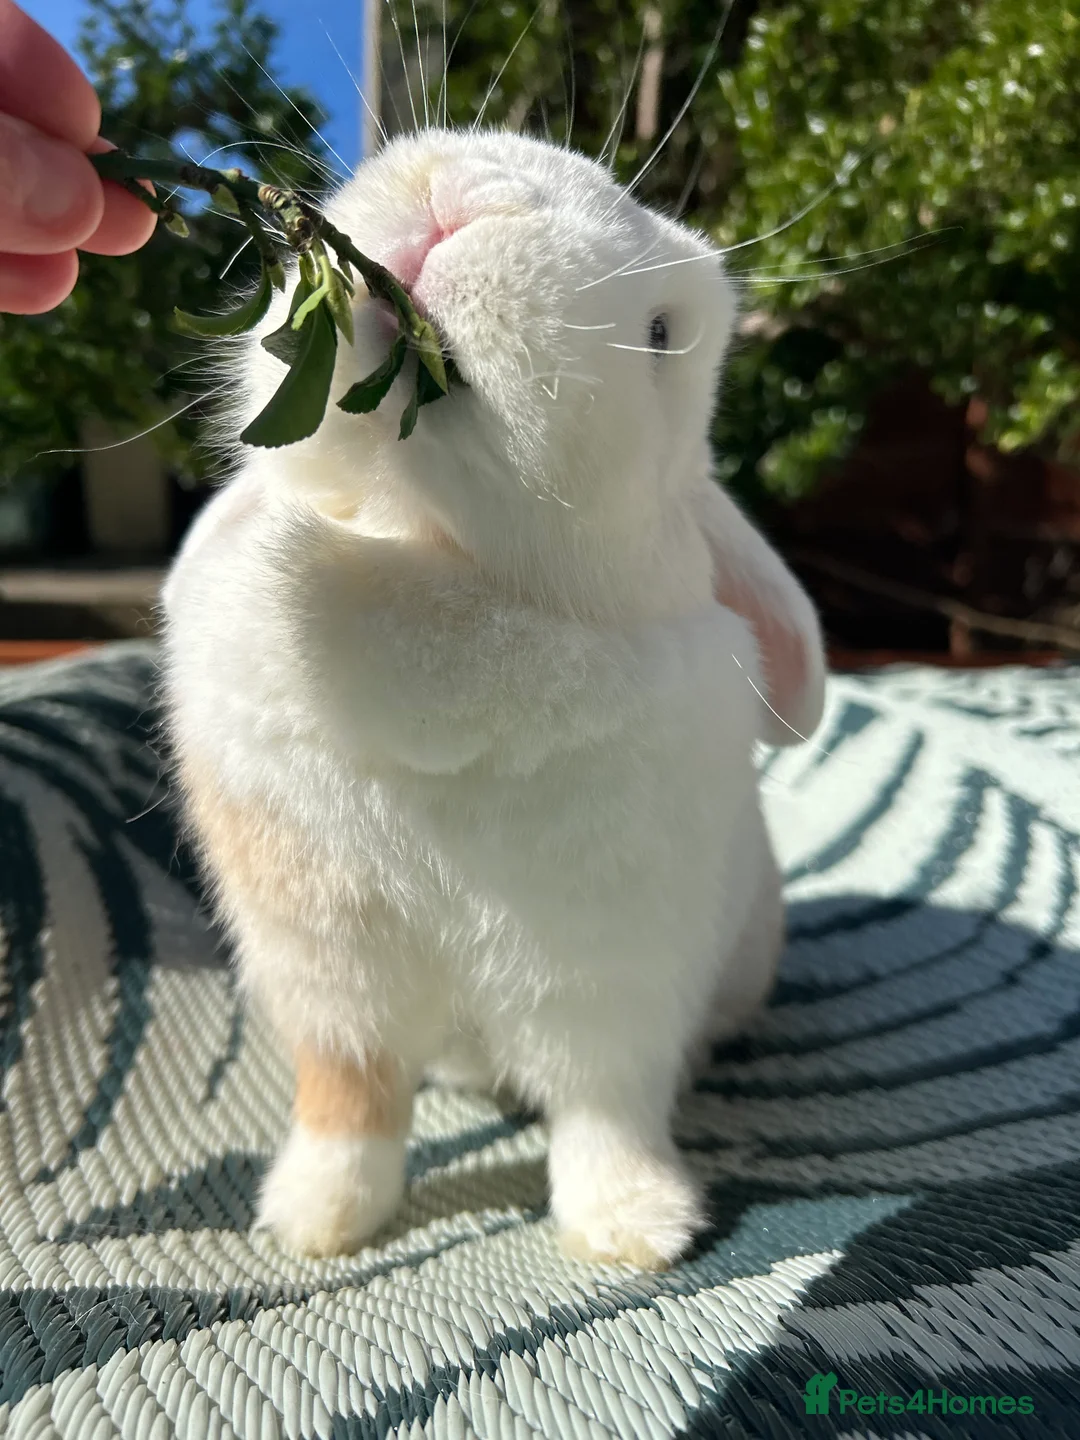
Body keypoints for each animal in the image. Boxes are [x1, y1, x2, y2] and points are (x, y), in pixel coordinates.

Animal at [161, 127, 825, 1269]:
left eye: (663, 335)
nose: (464, 200)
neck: (424, 544)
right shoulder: (330, 970)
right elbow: (351, 1100)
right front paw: (318, 1221)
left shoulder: (610, 977)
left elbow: (607, 1110)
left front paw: (633, 1230)